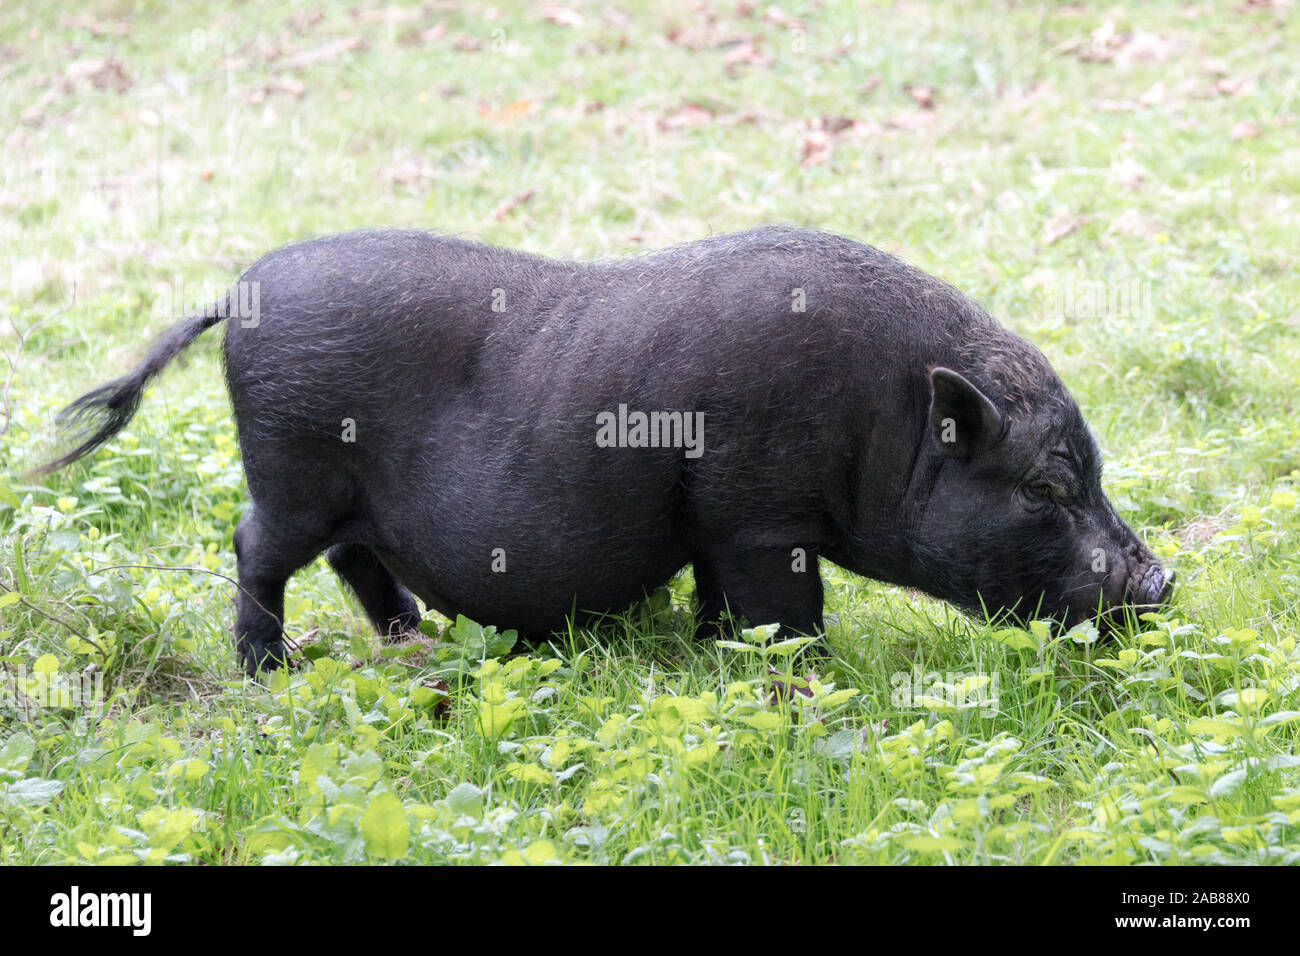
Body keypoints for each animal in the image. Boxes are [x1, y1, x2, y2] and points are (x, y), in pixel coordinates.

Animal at [36, 226, 1174, 674]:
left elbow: (720, 601)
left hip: (340, 493)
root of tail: (234, 295)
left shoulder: (719, 523)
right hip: (292, 473)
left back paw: (412, 639)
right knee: (253, 548)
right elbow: (786, 609)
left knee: (354, 557)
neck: (882, 420)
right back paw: (268, 672)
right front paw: (802, 675)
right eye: (1045, 485)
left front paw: (715, 651)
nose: (1162, 580)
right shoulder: (762, 516)